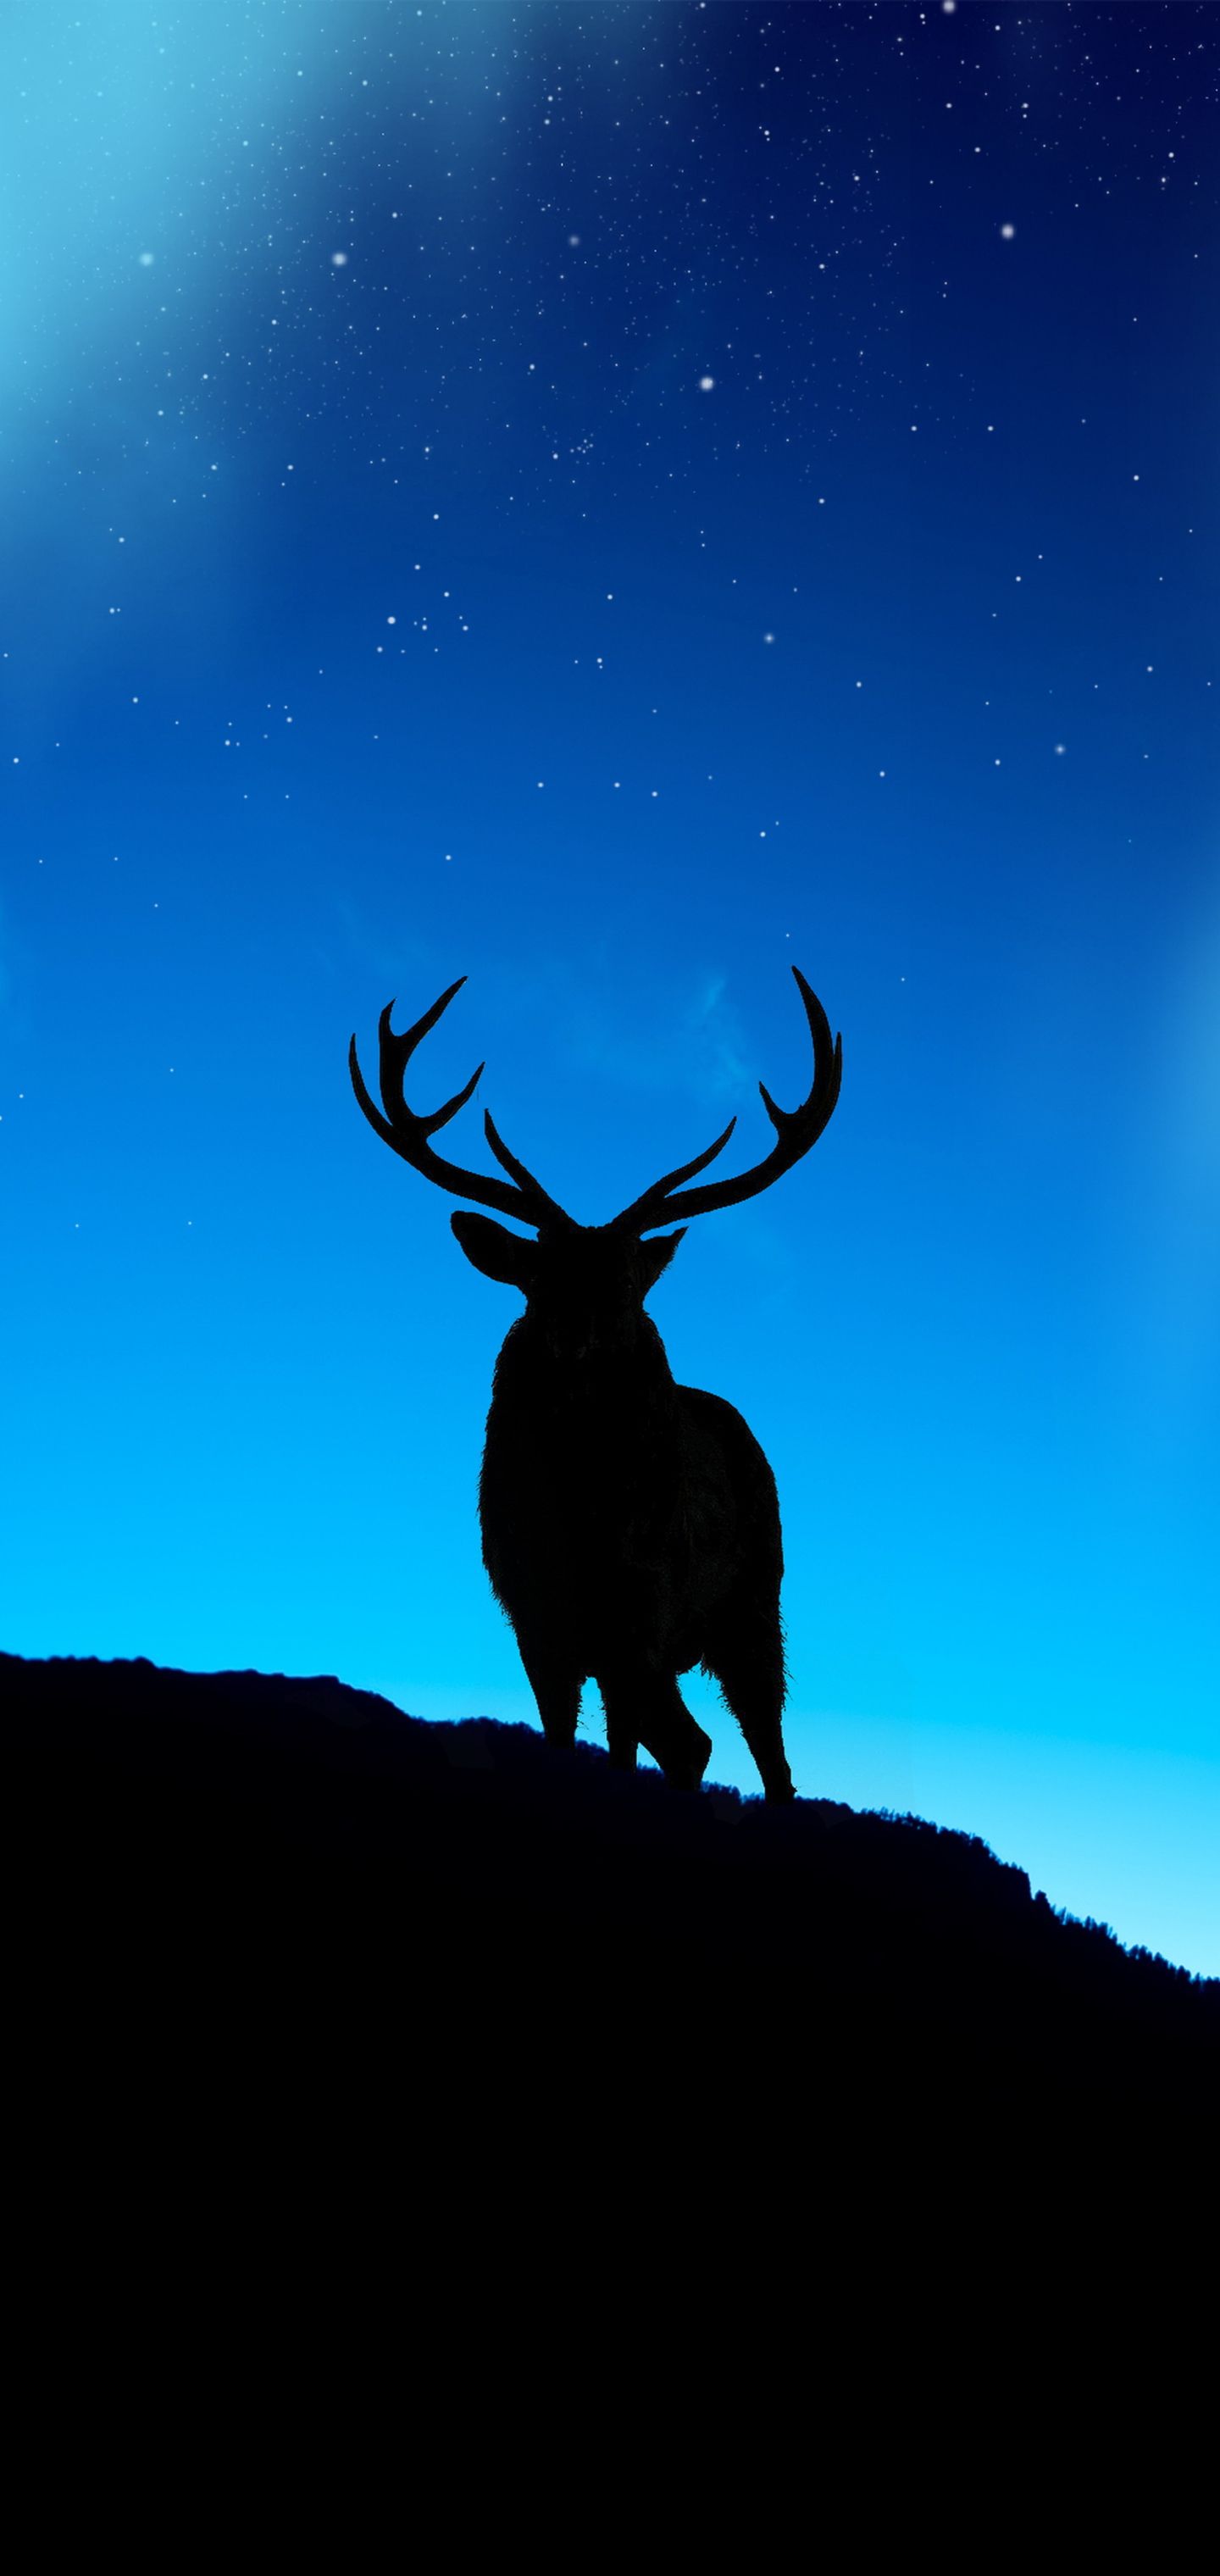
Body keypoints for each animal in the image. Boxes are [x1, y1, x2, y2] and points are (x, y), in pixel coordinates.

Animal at [349, 968, 842, 1803]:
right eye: (539, 1282)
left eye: (624, 1288)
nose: (574, 1342)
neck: (581, 1522)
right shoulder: (534, 1613)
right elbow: (563, 1736)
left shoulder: (639, 1613)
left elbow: (618, 1747)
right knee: (693, 1743)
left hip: (753, 1603)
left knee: (764, 1748)